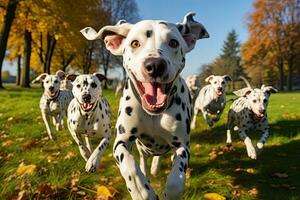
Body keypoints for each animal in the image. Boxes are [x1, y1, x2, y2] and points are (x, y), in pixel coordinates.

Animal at [81, 11, 209, 199]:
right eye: (135, 43)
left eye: (173, 42)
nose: (155, 65)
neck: (153, 114)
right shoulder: (122, 142)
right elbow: (130, 167)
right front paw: (141, 191)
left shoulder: (182, 146)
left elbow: (175, 182)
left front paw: (169, 191)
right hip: (142, 148)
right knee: (143, 159)